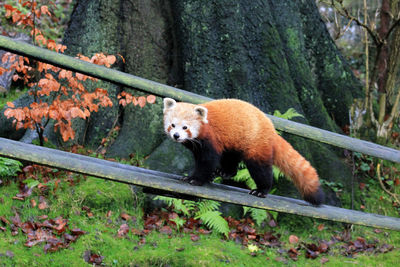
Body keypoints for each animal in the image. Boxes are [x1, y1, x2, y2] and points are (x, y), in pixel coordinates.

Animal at [162, 98, 324, 205]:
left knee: (261, 169)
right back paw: (225, 172)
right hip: (236, 143)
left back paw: (261, 190)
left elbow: (207, 162)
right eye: (172, 125)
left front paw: (195, 179)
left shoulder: (210, 140)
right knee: (231, 159)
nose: (176, 136)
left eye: (185, 127)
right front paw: (190, 176)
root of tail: (271, 129)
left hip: (256, 145)